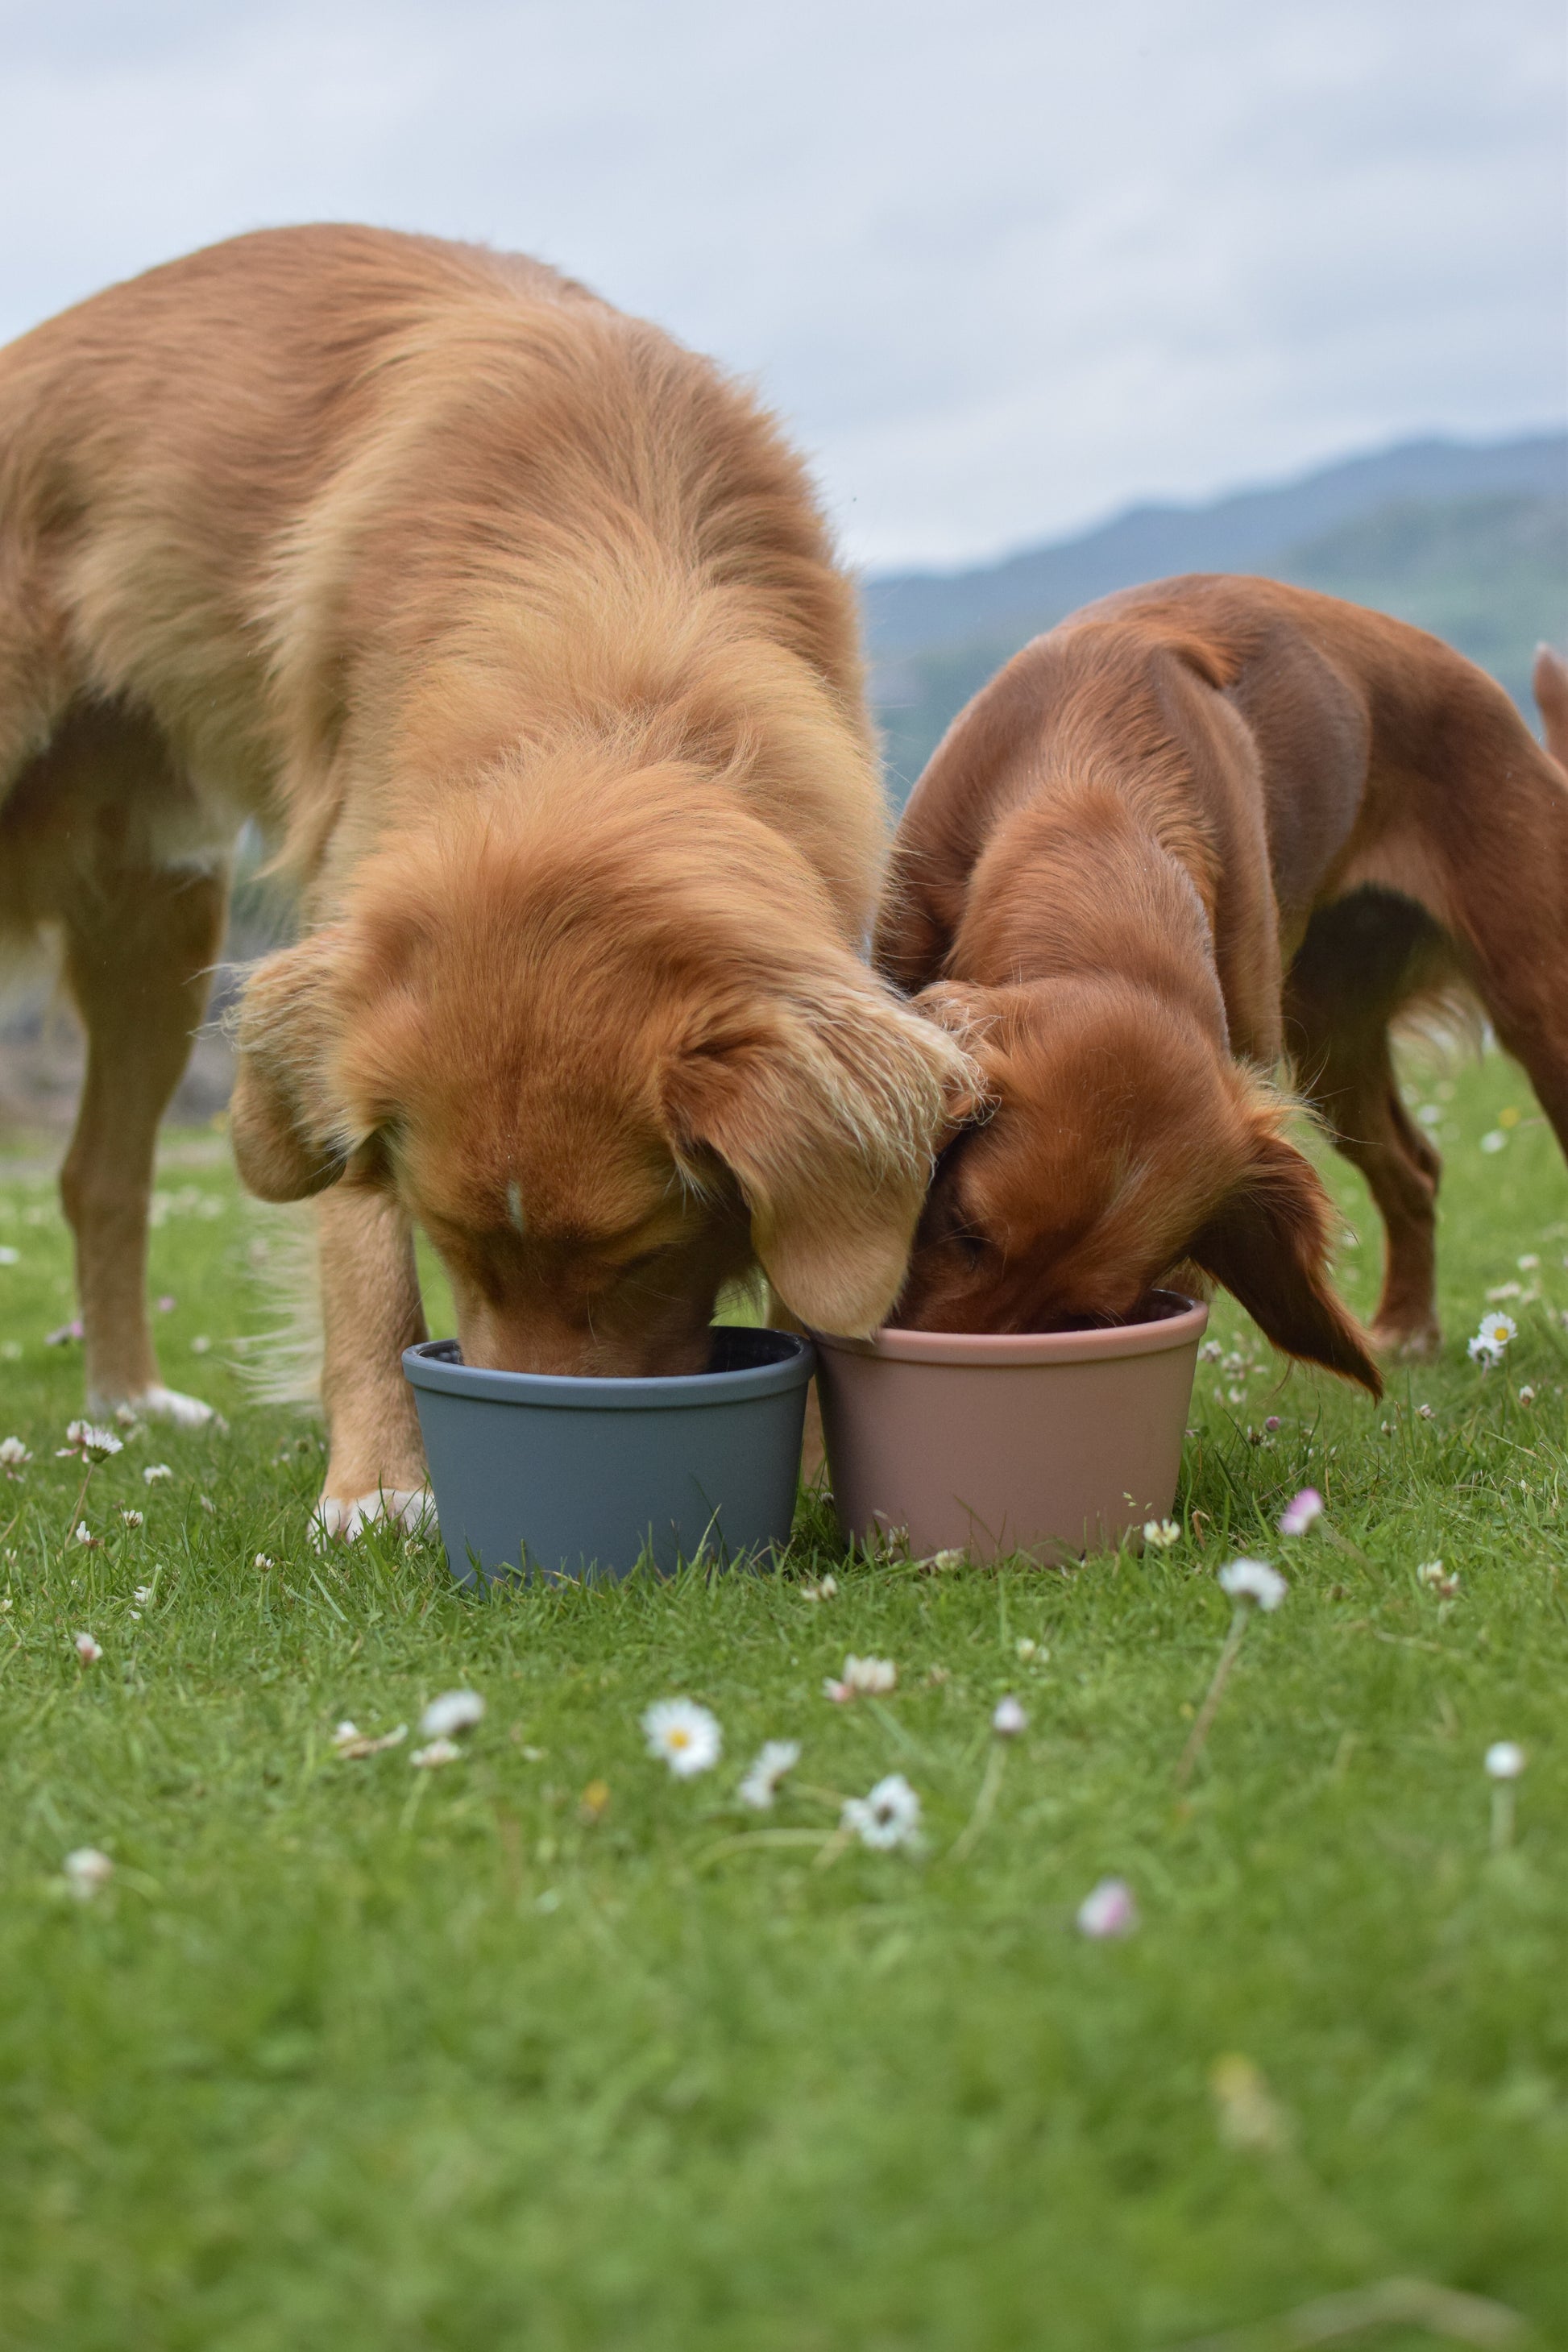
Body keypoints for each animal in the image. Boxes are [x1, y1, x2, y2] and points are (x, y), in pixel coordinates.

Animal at [0, 229, 969, 1533]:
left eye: (643, 1255)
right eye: (450, 1241)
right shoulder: (349, 930)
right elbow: (357, 1255)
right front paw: (378, 1480)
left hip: (159, 922)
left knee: (97, 1173)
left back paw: (127, 1400)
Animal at [879, 574, 1568, 1373]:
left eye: (1088, 1315)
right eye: (964, 1225)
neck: (1095, 782)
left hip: (1535, 1009)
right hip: (1333, 1046)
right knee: (1416, 1166)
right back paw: (1406, 1326)